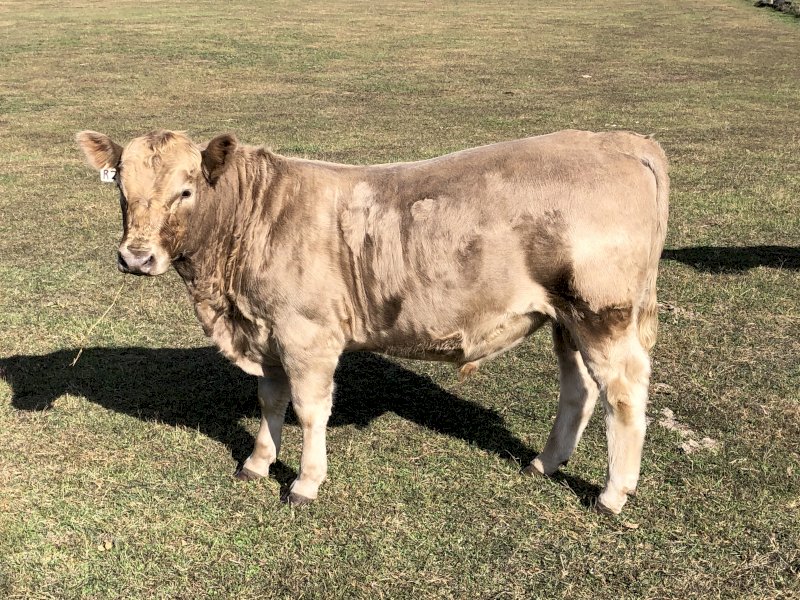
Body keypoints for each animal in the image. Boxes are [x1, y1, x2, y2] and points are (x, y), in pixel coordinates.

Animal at [77, 128, 668, 514]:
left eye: (186, 189)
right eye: (121, 189)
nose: (136, 257)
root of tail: (624, 141)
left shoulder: (307, 334)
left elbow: (309, 409)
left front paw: (305, 483)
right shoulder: (267, 333)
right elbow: (270, 401)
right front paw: (258, 462)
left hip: (603, 313)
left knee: (622, 393)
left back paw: (613, 493)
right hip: (565, 317)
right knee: (580, 389)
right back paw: (546, 462)